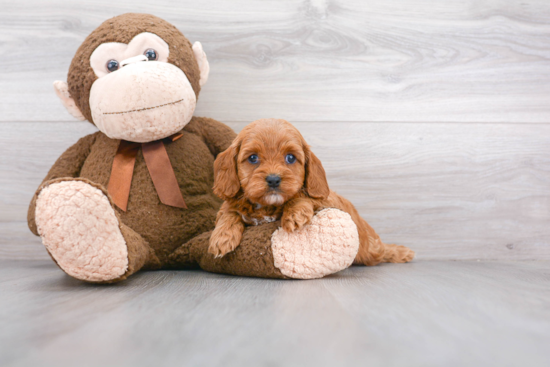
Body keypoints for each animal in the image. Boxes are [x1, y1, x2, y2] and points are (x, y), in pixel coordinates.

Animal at [209, 119, 416, 266]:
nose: (274, 179)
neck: (267, 206)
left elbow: (304, 196)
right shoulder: (231, 204)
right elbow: (229, 213)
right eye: (253, 158)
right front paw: (222, 237)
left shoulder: (324, 199)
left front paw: (293, 214)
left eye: (290, 158)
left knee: (381, 251)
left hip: (370, 248)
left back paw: (401, 252)